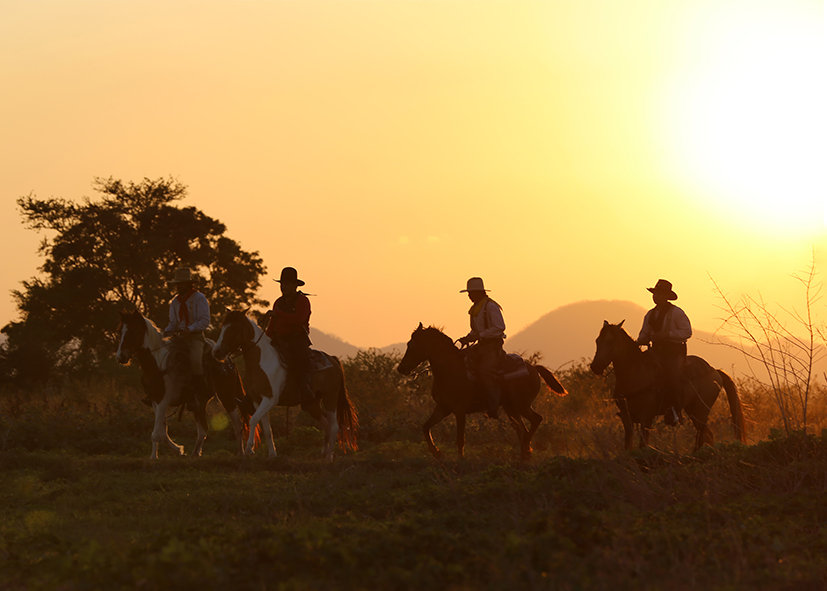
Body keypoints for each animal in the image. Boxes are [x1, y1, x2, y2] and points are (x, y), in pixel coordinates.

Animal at [115, 312, 254, 460]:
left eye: (133, 331)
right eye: (120, 331)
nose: (120, 357)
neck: (158, 365)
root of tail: (229, 361)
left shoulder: (163, 401)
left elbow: (156, 433)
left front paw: (153, 457)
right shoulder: (155, 402)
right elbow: (162, 433)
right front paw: (178, 450)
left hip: (227, 397)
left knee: (237, 426)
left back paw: (241, 452)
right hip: (201, 403)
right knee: (203, 429)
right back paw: (195, 453)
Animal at [210, 310, 360, 462]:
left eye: (233, 328)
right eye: (222, 327)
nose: (216, 351)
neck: (262, 361)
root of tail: (333, 360)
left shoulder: (270, 399)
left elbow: (253, 420)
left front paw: (249, 449)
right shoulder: (257, 400)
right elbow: (266, 427)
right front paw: (272, 454)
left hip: (330, 397)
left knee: (334, 426)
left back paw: (329, 457)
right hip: (312, 404)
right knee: (326, 423)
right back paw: (324, 452)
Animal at [396, 324, 568, 462]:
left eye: (413, 344)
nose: (401, 368)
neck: (451, 368)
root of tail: (534, 368)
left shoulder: (459, 410)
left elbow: (460, 438)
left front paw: (460, 459)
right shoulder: (443, 407)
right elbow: (426, 426)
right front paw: (436, 452)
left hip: (521, 405)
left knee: (536, 420)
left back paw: (525, 451)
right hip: (511, 408)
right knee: (522, 429)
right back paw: (524, 454)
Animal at [592, 322, 748, 450]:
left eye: (610, 341)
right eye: (597, 340)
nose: (596, 367)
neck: (635, 374)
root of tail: (714, 371)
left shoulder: (646, 417)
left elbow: (643, 445)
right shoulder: (626, 417)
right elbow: (627, 445)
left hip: (702, 410)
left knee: (702, 433)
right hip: (692, 410)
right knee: (707, 435)